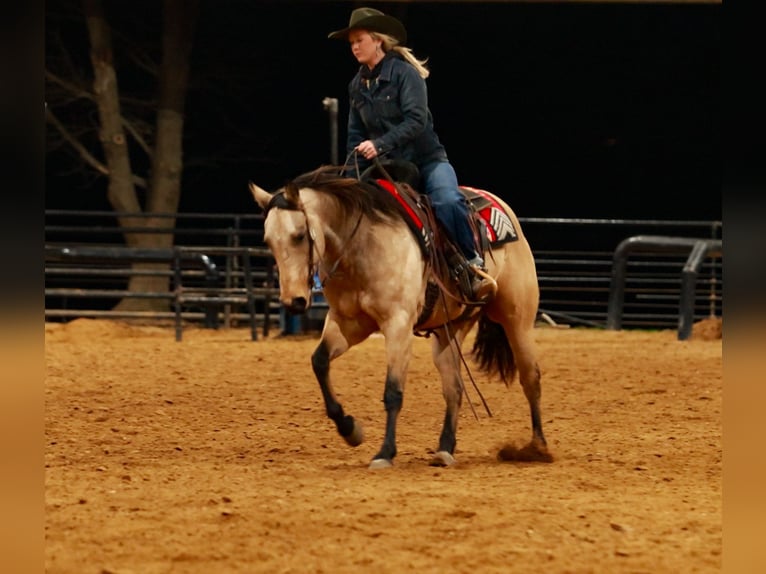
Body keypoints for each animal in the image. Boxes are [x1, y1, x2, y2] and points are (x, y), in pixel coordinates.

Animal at [249, 165, 552, 469]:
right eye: (268, 241)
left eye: (299, 235)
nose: (294, 301)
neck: (361, 246)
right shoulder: (348, 323)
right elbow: (320, 362)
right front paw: (350, 429)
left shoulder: (398, 325)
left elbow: (393, 391)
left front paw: (385, 452)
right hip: (449, 331)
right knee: (454, 388)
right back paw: (445, 449)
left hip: (517, 319)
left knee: (531, 377)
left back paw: (537, 447)